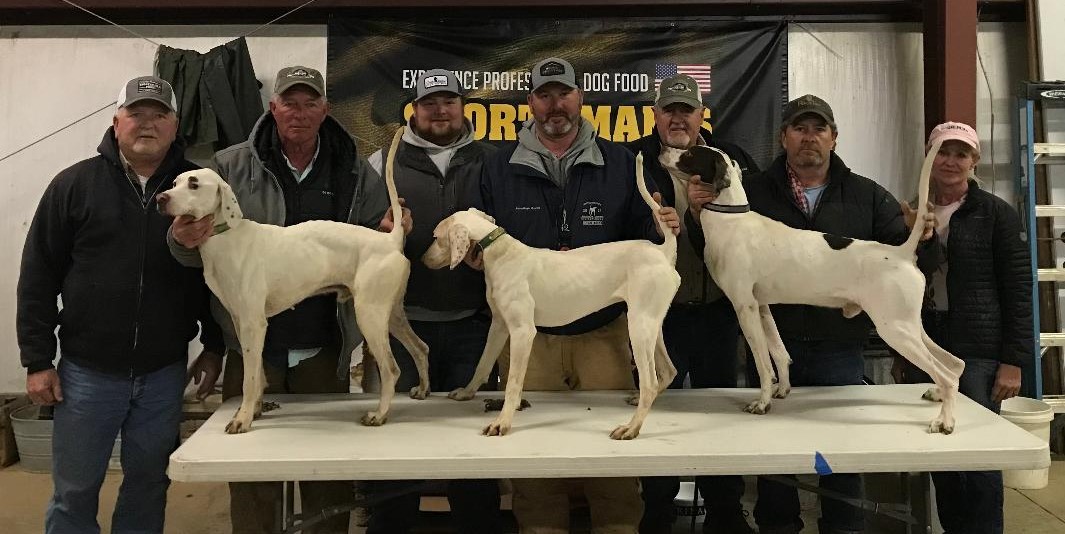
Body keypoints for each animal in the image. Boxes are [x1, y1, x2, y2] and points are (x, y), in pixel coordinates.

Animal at [156, 128, 428, 432]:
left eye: (193, 184)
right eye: (175, 182)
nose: (161, 198)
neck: (227, 236)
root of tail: (390, 239)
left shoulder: (253, 323)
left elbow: (249, 379)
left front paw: (242, 419)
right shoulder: (242, 323)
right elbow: (258, 373)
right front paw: (256, 409)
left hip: (369, 315)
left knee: (392, 369)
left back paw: (379, 415)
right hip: (390, 314)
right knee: (421, 348)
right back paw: (422, 390)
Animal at [419, 155, 677, 439]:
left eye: (436, 237)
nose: (421, 259)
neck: (501, 251)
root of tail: (662, 251)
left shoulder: (522, 332)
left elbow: (512, 384)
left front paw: (502, 422)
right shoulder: (499, 325)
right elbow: (483, 364)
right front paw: (467, 392)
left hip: (639, 327)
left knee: (650, 382)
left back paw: (631, 427)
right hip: (651, 325)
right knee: (668, 372)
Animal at [685, 138, 971, 432]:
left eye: (690, 154)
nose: (672, 149)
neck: (731, 219)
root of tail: (902, 253)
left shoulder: (745, 307)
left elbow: (764, 364)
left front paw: (762, 403)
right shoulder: (761, 307)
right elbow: (779, 354)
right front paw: (782, 390)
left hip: (895, 330)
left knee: (948, 375)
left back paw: (945, 421)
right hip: (909, 327)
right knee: (955, 364)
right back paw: (938, 396)